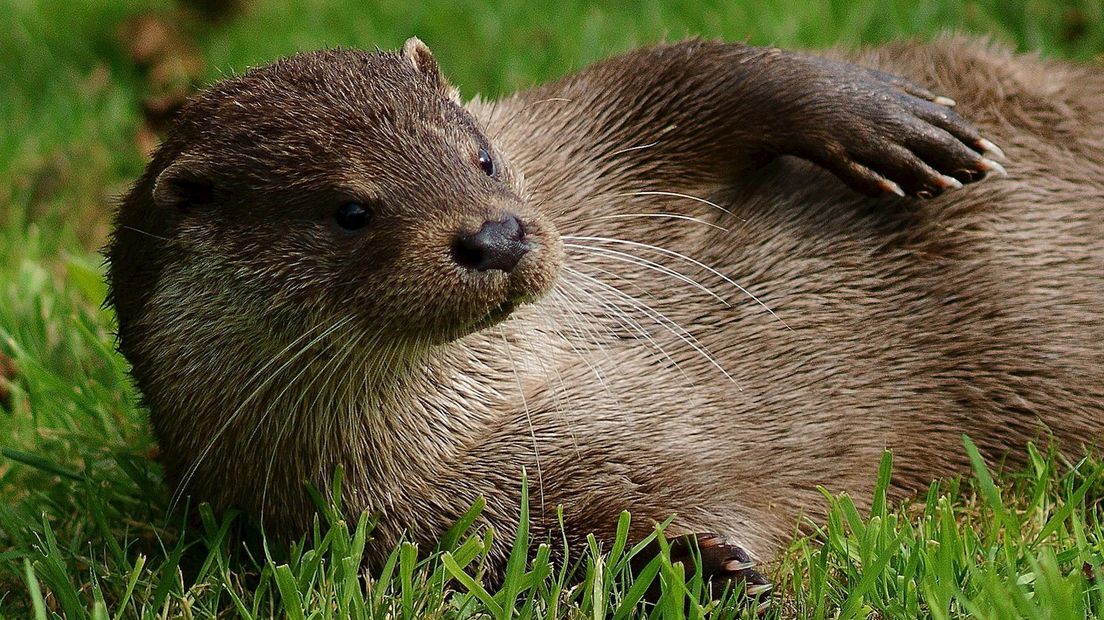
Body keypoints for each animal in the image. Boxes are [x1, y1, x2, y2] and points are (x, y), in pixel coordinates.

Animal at [107, 35, 1104, 595]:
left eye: (479, 156)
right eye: (350, 211)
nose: (497, 234)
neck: (524, 374)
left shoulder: (580, 146)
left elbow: (682, 78)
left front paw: (879, 115)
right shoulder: (406, 519)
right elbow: (537, 554)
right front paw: (693, 570)